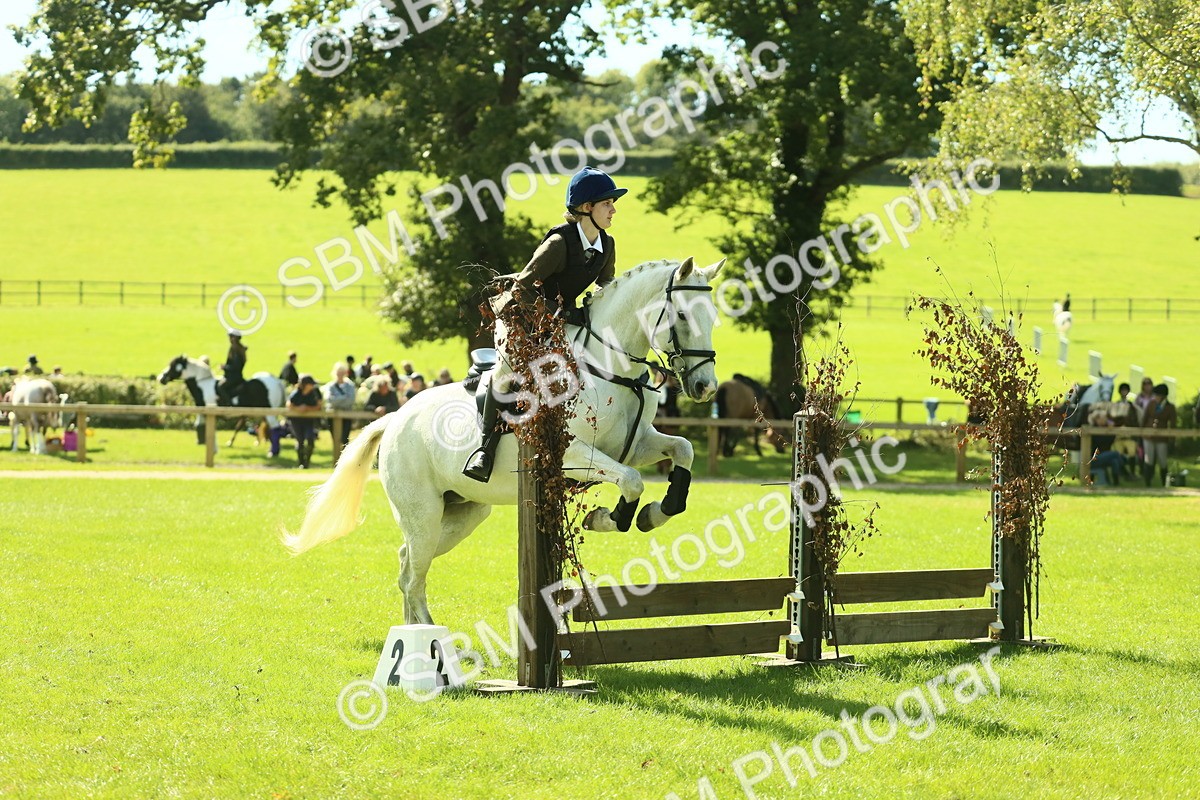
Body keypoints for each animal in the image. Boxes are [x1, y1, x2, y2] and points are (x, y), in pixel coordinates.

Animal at [157, 356, 285, 449]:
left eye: (173, 366)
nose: (161, 378)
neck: (203, 385)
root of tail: (275, 381)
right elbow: (200, 426)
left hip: (269, 413)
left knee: (274, 429)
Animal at [283, 256, 725, 626]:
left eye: (714, 317)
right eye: (682, 315)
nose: (705, 387)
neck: (609, 368)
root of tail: (394, 419)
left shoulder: (637, 443)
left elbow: (681, 450)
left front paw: (656, 512)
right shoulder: (573, 454)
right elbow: (631, 480)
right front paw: (605, 518)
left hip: (462, 513)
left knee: (407, 563)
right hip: (422, 513)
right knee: (412, 576)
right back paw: (434, 647)